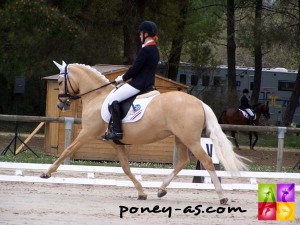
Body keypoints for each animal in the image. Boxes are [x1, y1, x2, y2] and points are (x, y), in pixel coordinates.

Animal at [41, 61, 248, 204]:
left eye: (60, 81)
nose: (61, 104)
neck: (97, 97)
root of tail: (198, 102)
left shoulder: (87, 133)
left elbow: (67, 150)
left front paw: (47, 173)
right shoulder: (116, 142)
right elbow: (126, 168)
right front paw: (141, 192)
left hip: (191, 140)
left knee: (206, 161)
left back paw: (222, 196)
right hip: (181, 138)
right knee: (182, 161)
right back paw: (161, 190)